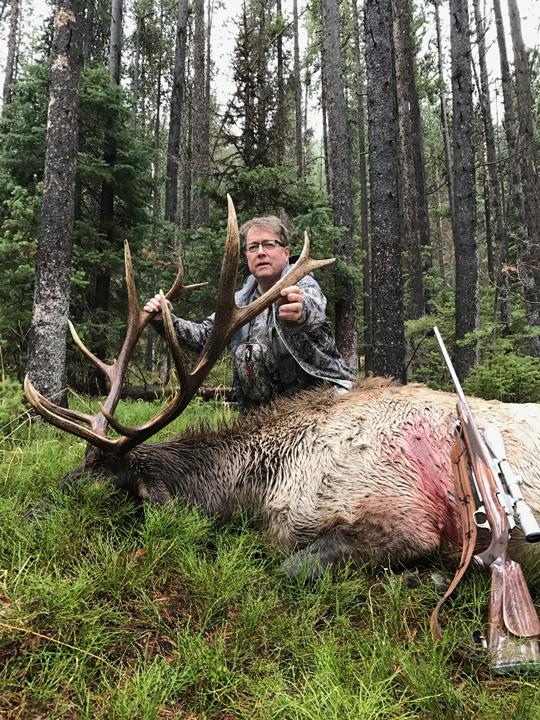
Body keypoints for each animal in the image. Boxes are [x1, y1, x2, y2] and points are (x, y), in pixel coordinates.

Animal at [24, 197, 540, 584]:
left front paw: (425, 577)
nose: (30, 511)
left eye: (101, 492)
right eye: (72, 472)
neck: (257, 491)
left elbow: (290, 568)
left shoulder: (406, 518)